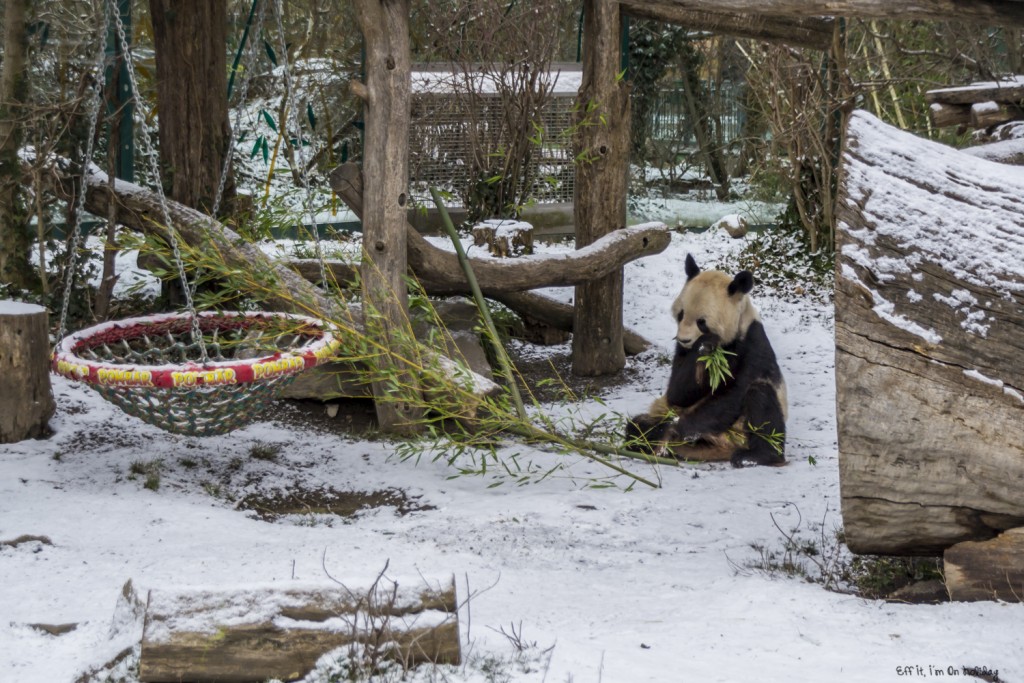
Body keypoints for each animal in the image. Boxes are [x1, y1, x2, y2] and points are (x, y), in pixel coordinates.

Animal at [618, 253, 786, 466]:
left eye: (701, 322)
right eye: (680, 314)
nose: (684, 339)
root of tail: (721, 448)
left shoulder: (752, 341)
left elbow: (734, 392)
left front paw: (677, 428)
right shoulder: (683, 354)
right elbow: (677, 393)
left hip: (740, 431)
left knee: (761, 398)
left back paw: (755, 456)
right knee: (638, 425)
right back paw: (651, 440)